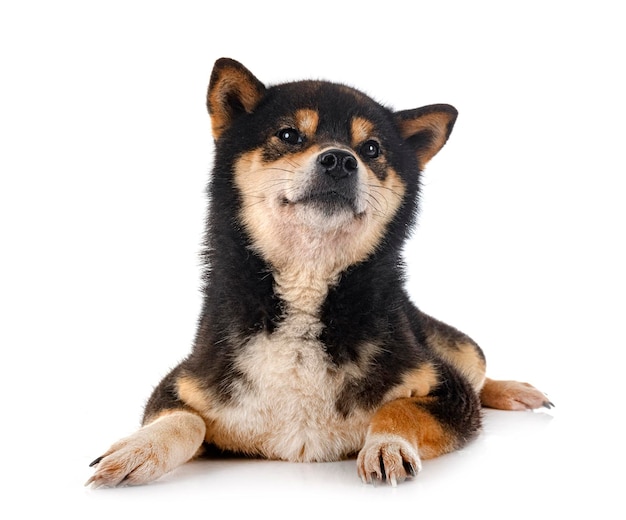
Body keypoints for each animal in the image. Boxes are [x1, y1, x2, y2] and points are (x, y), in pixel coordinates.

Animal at [85, 59, 548, 490]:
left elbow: (399, 407)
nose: (341, 159)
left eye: (372, 148)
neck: (306, 285)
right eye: (290, 135)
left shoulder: (448, 390)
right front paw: (138, 449)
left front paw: (387, 445)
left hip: (463, 347)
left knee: (479, 374)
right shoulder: (182, 383)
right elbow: (185, 419)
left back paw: (514, 391)